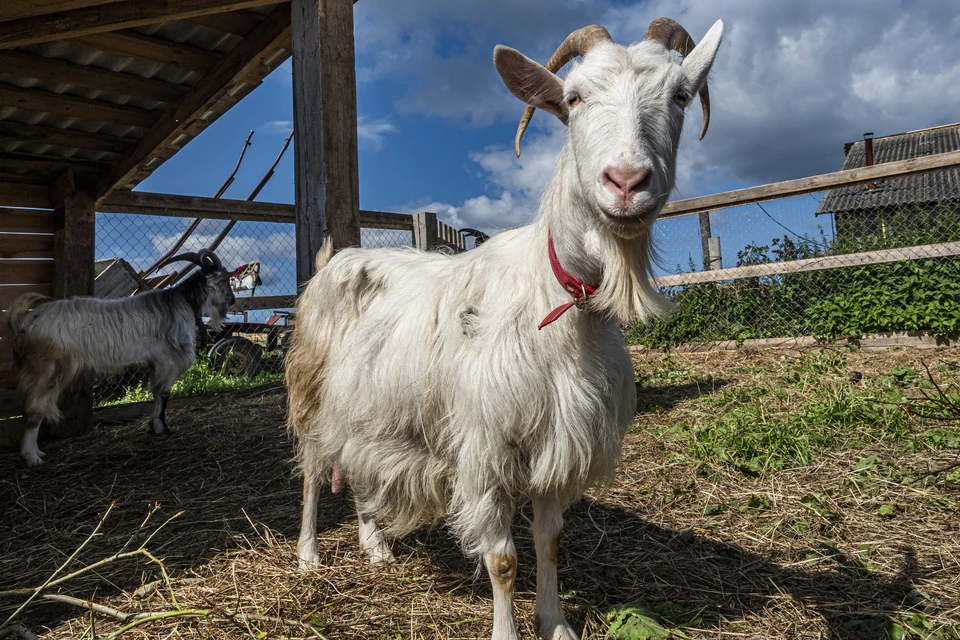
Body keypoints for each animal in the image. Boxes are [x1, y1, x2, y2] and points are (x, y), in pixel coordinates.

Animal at [288, 18, 724, 640]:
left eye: (681, 96)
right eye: (574, 98)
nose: (626, 182)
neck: (558, 299)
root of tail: (334, 258)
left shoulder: (559, 447)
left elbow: (550, 542)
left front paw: (556, 623)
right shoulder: (485, 447)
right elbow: (502, 559)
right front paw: (508, 629)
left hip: (370, 404)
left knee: (357, 464)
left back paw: (375, 545)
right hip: (312, 390)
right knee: (312, 469)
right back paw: (307, 554)